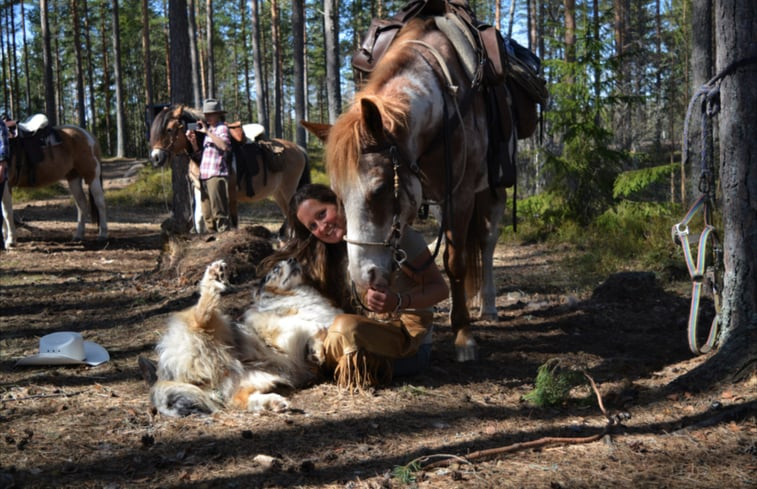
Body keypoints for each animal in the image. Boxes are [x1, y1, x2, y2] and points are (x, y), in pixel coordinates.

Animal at [148, 104, 308, 233]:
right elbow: (199, 220)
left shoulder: (228, 192)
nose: (156, 158)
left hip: (288, 191)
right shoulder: (199, 189)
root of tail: (299, 149)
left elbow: (230, 222)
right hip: (278, 193)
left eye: (169, 130)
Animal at [151, 255, 340, 416]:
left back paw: (273, 402)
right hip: (217, 326)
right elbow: (316, 325)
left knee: (240, 401)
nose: (293, 259)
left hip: (253, 380)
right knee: (200, 317)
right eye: (276, 269)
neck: (292, 294)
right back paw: (214, 276)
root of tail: (166, 374)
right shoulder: (275, 326)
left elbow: (321, 328)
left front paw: (315, 351)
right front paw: (315, 352)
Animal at [302, 17, 512, 360]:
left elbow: (455, 263)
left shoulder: (460, 196)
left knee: (486, 241)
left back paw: (488, 305)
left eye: (379, 188)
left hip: (493, 192)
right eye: (338, 197)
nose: (363, 277)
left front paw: (464, 336)